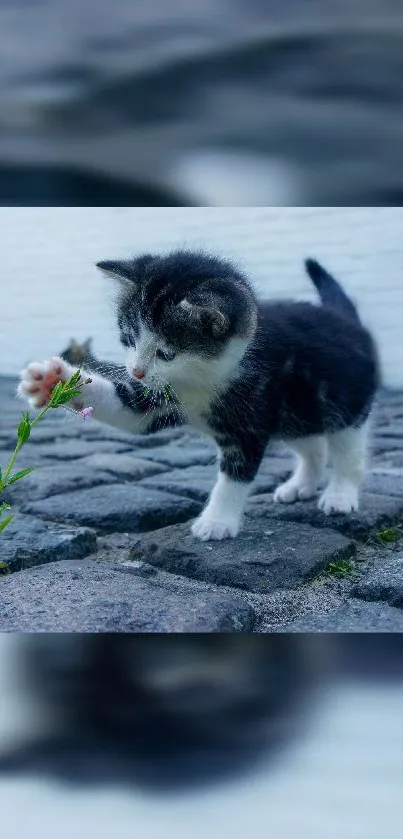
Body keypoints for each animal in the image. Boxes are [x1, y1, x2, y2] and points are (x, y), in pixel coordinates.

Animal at [18, 249, 378, 540]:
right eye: (129, 338)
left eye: (166, 353)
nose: (136, 371)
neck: (201, 379)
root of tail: (346, 319)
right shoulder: (158, 397)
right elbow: (129, 412)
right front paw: (52, 381)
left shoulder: (251, 418)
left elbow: (235, 475)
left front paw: (217, 521)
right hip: (296, 412)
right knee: (312, 444)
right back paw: (301, 485)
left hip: (345, 405)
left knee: (348, 452)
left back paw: (340, 495)